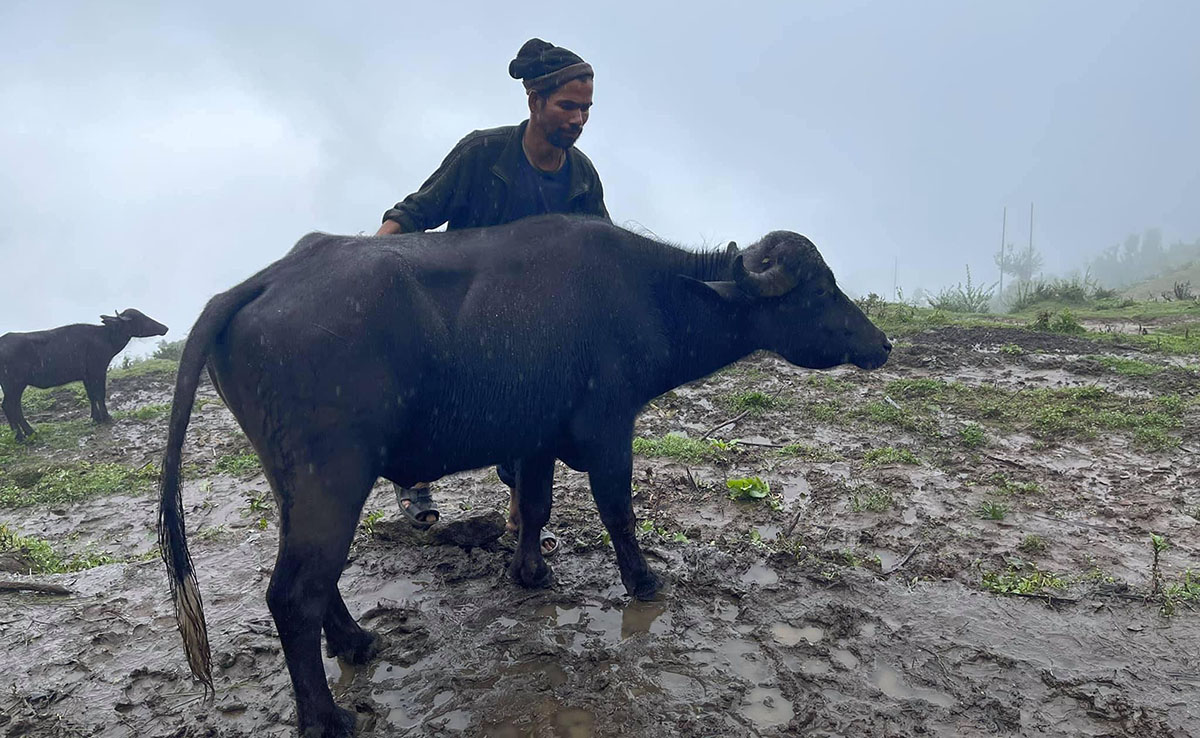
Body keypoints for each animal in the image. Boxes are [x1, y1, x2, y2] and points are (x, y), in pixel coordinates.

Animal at [0, 309, 170, 441]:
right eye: (141, 318)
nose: (165, 328)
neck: (105, 337)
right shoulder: (98, 370)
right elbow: (100, 394)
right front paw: (106, 417)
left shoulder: (86, 376)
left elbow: (91, 395)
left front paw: (95, 418)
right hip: (14, 384)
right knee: (10, 406)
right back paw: (22, 436)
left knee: (13, 407)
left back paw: (26, 433)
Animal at [157, 213, 892, 734]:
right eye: (820, 289)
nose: (881, 343)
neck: (651, 295)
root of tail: (262, 280)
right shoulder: (609, 428)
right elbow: (618, 510)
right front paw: (645, 581)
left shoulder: (537, 437)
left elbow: (535, 507)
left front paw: (531, 572)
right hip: (330, 478)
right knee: (292, 592)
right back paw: (326, 718)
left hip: (295, 483)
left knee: (314, 581)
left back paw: (357, 641)